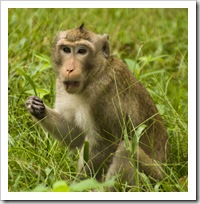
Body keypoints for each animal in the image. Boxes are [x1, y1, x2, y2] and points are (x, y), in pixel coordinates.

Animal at [25, 23, 169, 191]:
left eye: (82, 51)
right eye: (66, 49)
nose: (69, 69)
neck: (93, 76)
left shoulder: (102, 95)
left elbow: (105, 144)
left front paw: (77, 185)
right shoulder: (60, 86)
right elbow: (76, 137)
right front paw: (37, 108)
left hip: (151, 179)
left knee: (125, 149)